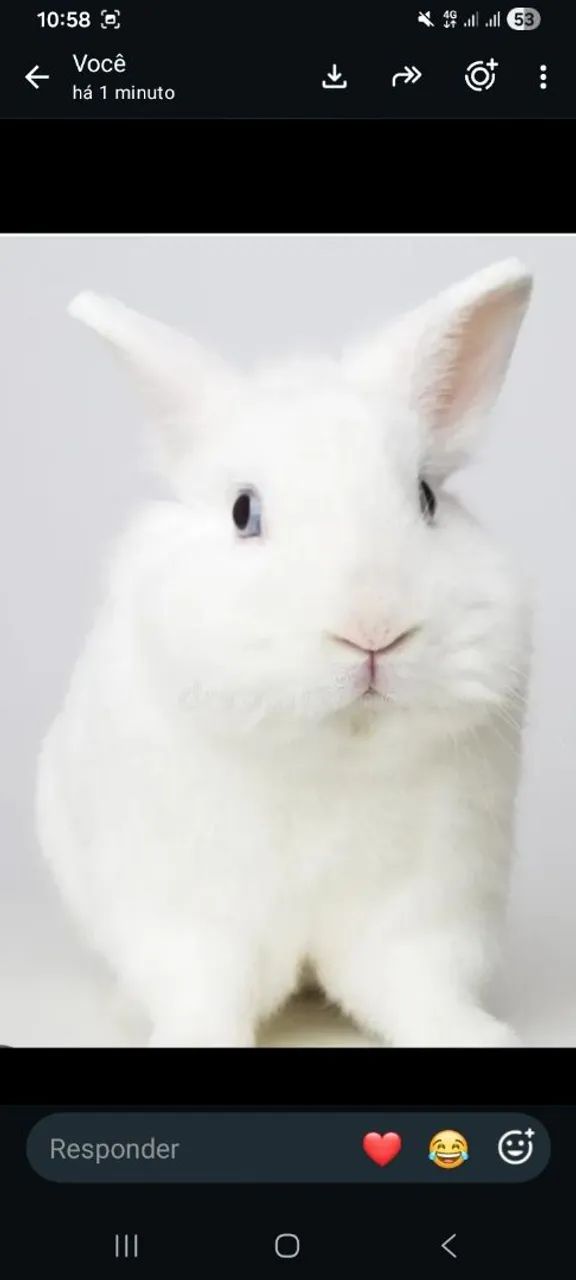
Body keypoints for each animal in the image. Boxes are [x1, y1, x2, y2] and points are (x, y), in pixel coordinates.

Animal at [36, 259, 533, 1048]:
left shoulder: (428, 911)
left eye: (426, 497)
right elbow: (204, 991)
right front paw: (192, 1041)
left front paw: (473, 1036)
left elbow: (418, 986)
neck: (332, 754)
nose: (372, 629)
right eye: (245, 512)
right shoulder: (190, 919)